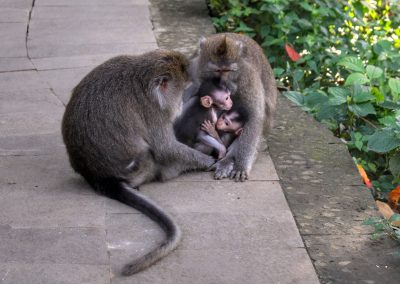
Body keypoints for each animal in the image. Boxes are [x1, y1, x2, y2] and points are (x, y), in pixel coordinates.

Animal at [61, 49, 216, 276]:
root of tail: (97, 177)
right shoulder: (154, 111)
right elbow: (165, 148)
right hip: (141, 167)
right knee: (151, 155)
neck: (145, 80)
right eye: (182, 91)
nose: (180, 105)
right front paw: (210, 160)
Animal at [188, 32, 278, 181]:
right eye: (218, 70)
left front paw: (240, 165)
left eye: (228, 70)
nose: (223, 83)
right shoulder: (194, 73)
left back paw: (227, 160)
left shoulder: (248, 79)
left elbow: (254, 118)